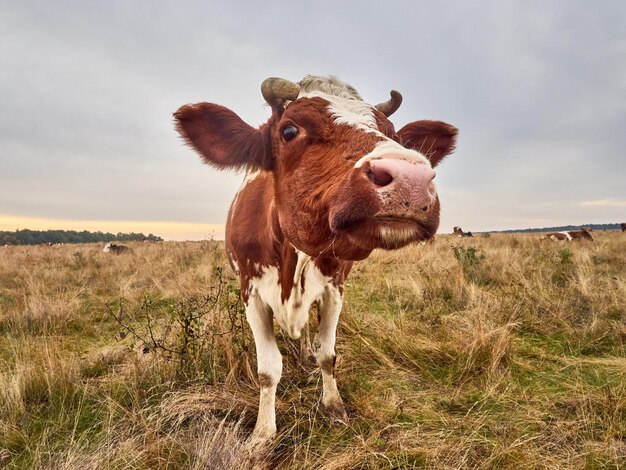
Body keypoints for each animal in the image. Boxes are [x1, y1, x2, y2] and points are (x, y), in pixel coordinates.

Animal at [173, 75, 456, 442]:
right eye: (289, 130)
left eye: (394, 134)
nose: (412, 178)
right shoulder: (250, 291)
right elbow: (268, 369)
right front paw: (263, 432)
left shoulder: (335, 288)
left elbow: (328, 354)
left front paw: (334, 407)